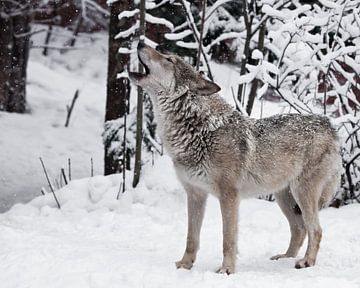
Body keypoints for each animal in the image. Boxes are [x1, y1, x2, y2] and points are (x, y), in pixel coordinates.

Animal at [129, 42, 340, 274]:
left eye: (169, 59)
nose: (140, 42)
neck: (199, 130)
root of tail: (328, 125)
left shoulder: (229, 195)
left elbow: (227, 238)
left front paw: (227, 269)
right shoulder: (195, 194)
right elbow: (191, 237)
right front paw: (185, 265)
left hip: (302, 193)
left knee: (316, 229)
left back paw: (306, 262)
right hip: (284, 197)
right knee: (300, 228)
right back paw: (284, 258)